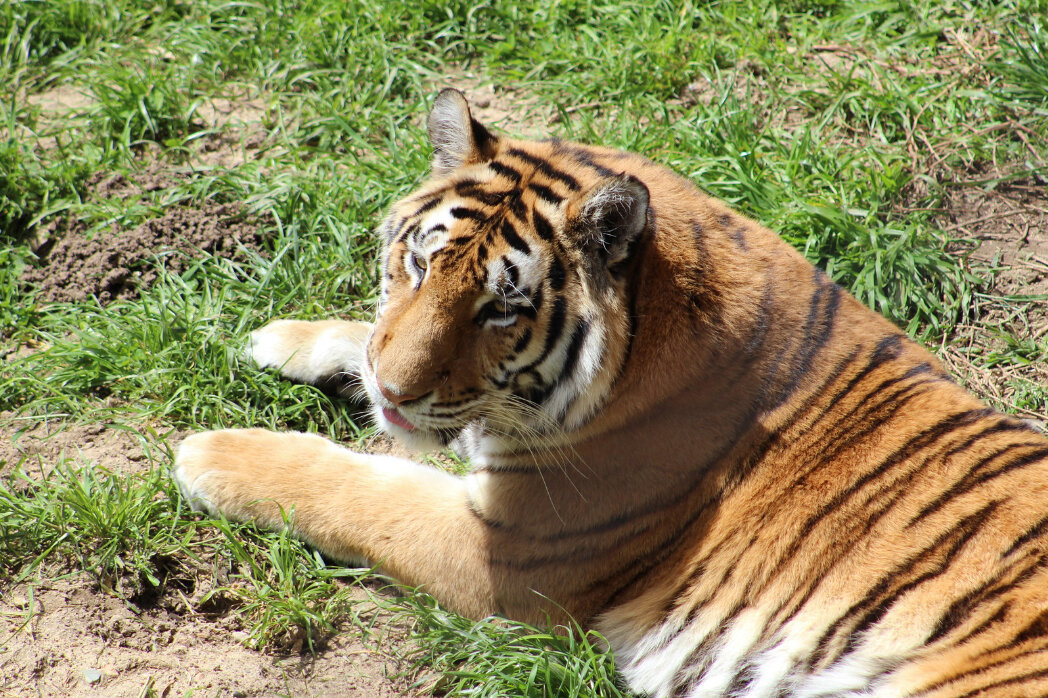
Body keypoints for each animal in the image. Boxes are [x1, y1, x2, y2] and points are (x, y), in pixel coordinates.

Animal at [173, 88, 1048, 697]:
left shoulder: (509, 552)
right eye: (419, 264)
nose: (394, 391)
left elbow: (358, 489)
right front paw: (282, 337)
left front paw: (212, 452)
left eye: (501, 308)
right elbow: (365, 339)